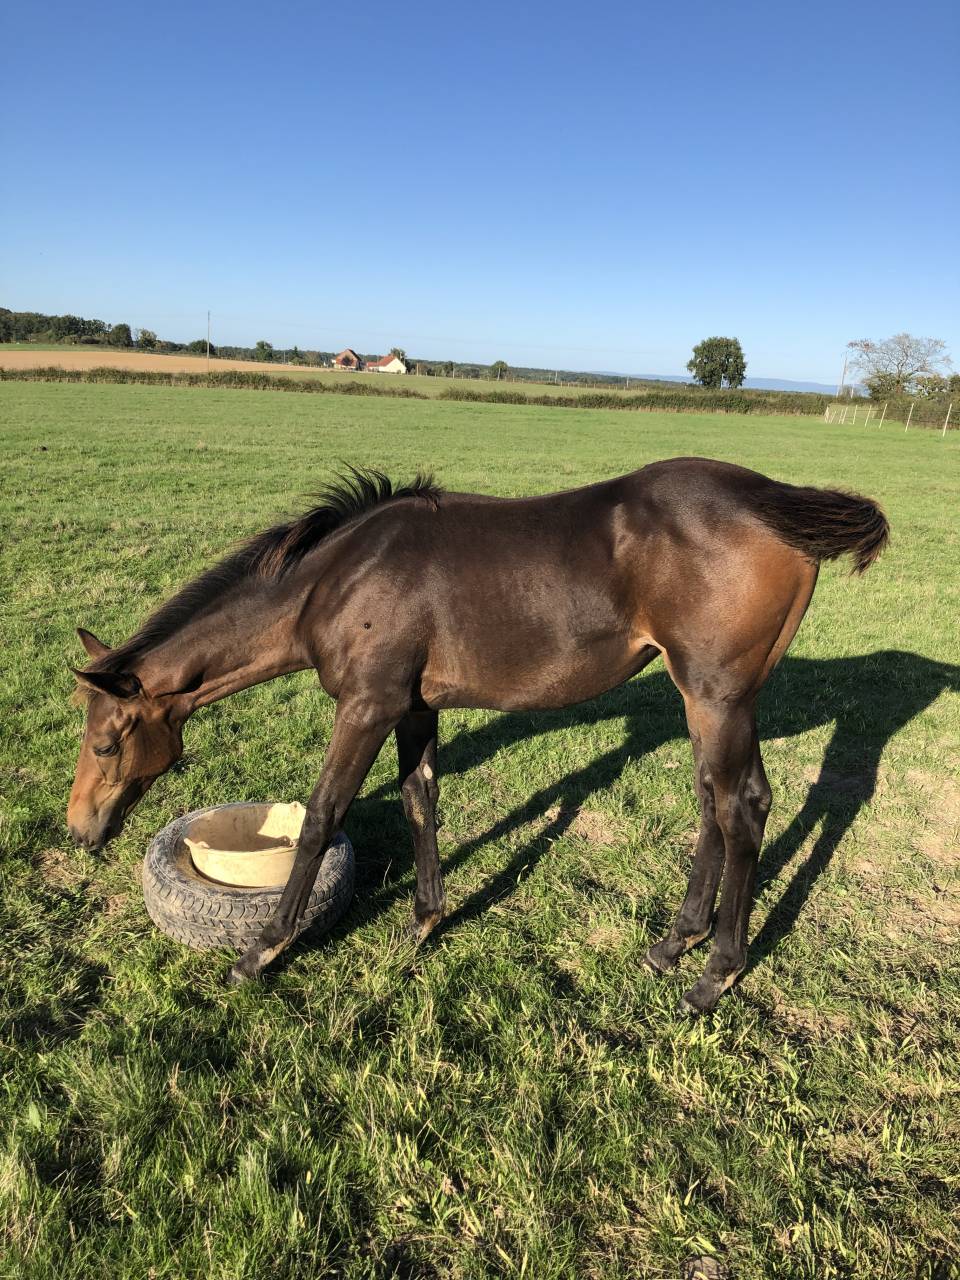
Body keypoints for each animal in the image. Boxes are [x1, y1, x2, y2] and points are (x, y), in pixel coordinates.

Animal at [68, 458, 888, 1014]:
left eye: (105, 745)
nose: (80, 830)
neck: (334, 579)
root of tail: (771, 499)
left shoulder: (365, 706)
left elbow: (321, 818)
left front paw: (261, 950)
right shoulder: (413, 707)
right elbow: (419, 798)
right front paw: (423, 924)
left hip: (718, 698)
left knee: (741, 806)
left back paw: (714, 974)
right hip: (706, 702)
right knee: (713, 803)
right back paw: (671, 943)